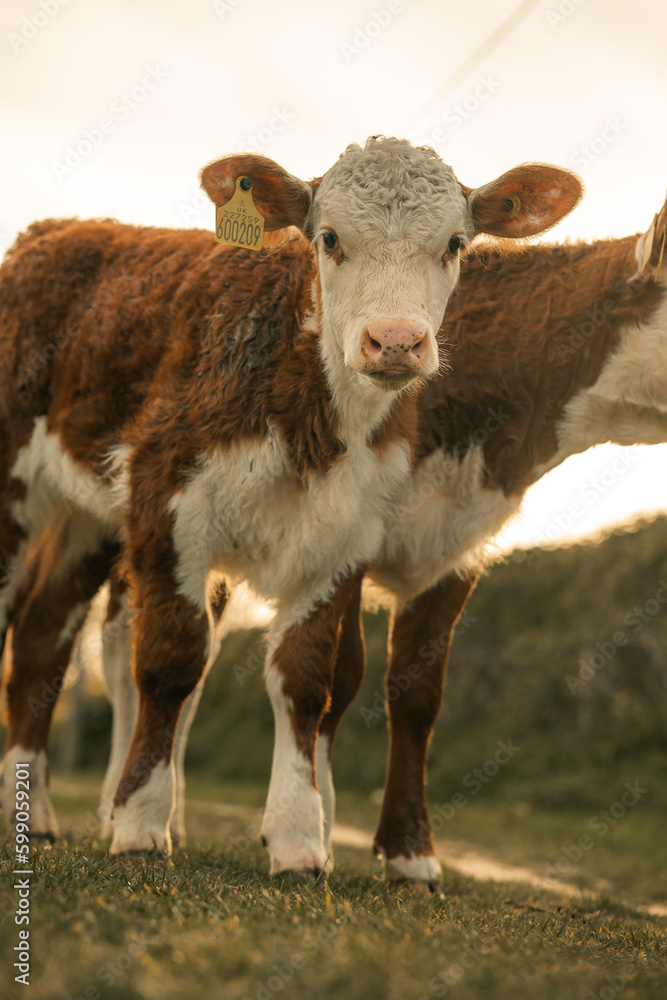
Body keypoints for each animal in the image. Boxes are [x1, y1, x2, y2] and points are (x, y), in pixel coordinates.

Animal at [0, 136, 580, 877]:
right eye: (328, 237)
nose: (396, 341)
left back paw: (33, 813)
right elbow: (170, 662)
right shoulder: (167, 501)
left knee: (43, 634)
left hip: (85, 517)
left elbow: (305, 681)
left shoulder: (343, 537)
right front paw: (140, 824)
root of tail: (61, 229)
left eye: (455, 243)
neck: (311, 413)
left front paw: (300, 840)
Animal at [89, 188, 667, 888]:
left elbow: (416, 695)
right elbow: (341, 677)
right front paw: (317, 825)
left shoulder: (455, 550)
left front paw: (408, 851)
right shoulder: (353, 537)